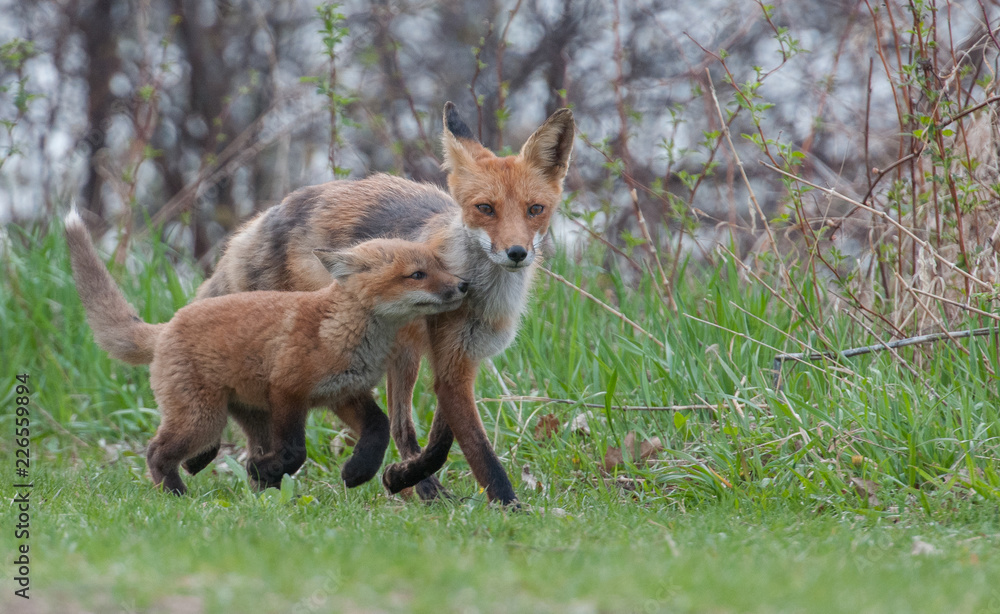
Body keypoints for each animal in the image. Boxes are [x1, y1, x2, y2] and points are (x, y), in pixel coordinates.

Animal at [64, 209, 467, 494]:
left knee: (234, 449)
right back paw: (177, 492)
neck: (340, 333)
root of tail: (169, 324)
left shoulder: (344, 393)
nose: (464, 285)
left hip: (245, 415)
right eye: (417, 275)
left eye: (441, 266)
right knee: (155, 451)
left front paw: (357, 472)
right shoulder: (288, 390)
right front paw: (273, 469)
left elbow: (379, 429)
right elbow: (296, 451)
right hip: (202, 419)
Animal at [196, 102, 574, 505]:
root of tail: (256, 224)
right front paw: (509, 503)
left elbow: (442, 438)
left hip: (399, 356)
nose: (517, 253)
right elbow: (475, 449)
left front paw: (404, 476)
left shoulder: (460, 358)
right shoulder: (450, 365)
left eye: (535, 209)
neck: (484, 297)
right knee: (380, 424)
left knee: (397, 426)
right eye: (485, 208)